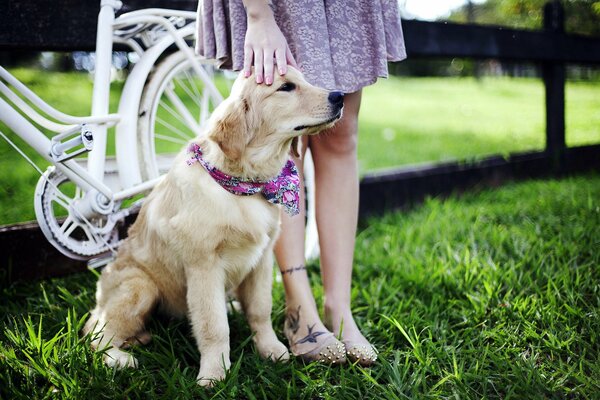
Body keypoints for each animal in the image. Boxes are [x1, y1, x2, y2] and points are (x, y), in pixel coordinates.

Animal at [82, 67, 344, 386]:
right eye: (285, 87)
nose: (340, 97)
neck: (245, 185)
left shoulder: (262, 259)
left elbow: (260, 309)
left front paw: (270, 349)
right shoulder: (204, 266)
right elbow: (214, 325)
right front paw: (214, 373)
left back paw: (139, 338)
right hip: (140, 286)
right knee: (97, 334)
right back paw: (119, 358)